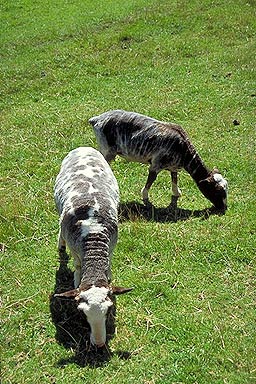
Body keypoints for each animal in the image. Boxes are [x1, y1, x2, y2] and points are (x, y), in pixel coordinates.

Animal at [53, 146, 132, 348]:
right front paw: (77, 278)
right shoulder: (76, 252)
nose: (99, 343)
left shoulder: (111, 247)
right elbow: (77, 267)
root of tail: (83, 147)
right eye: (82, 313)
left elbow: (109, 266)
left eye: (109, 310)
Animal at [88, 109, 228, 210]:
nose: (224, 208)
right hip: (107, 150)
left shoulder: (173, 166)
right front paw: (145, 196)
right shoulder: (156, 164)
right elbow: (151, 180)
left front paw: (176, 193)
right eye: (217, 191)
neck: (184, 151)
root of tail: (96, 119)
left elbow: (174, 178)